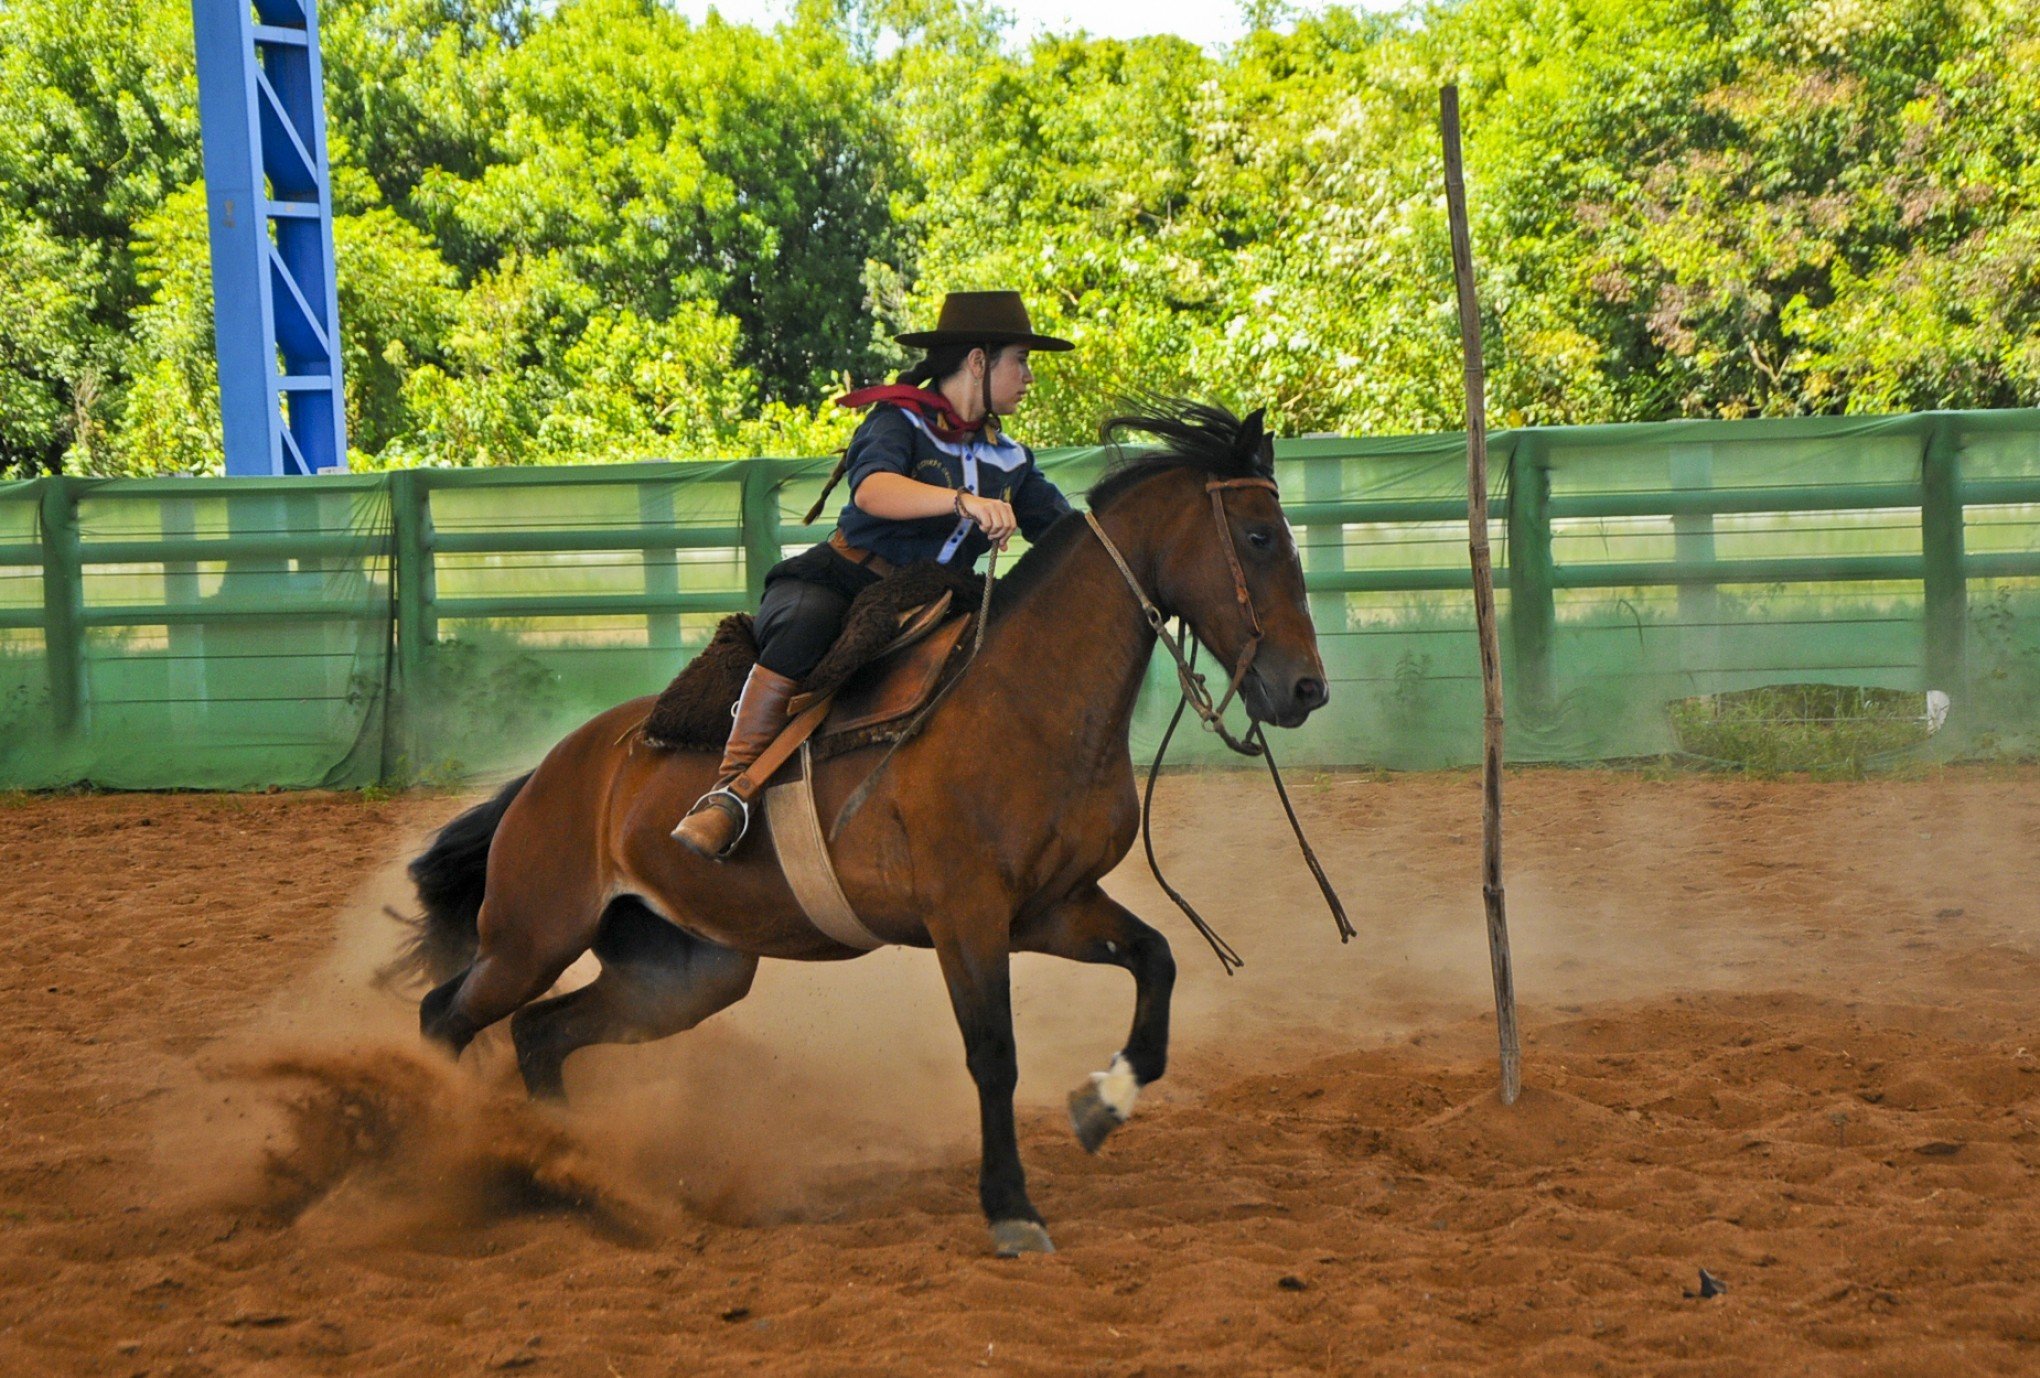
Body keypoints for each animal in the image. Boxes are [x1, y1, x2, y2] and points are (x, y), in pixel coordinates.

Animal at [387, 396, 1330, 1249]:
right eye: (1258, 538)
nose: (1305, 689)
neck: (1020, 699)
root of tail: (552, 772)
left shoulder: (1050, 907)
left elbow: (1157, 961)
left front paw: (1103, 1103)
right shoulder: (965, 917)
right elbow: (994, 1055)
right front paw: (1012, 1207)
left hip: (685, 973)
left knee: (539, 1034)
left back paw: (576, 1174)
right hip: (532, 938)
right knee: (445, 1019)